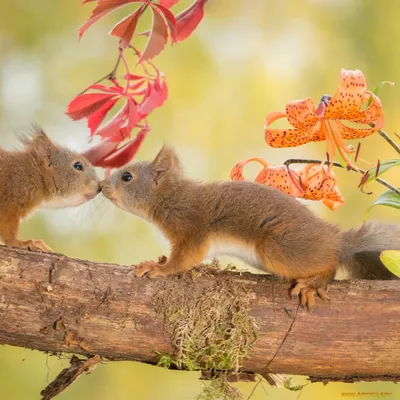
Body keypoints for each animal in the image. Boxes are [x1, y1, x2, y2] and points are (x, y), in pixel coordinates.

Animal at [100, 147, 400, 310]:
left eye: (126, 176)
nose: (101, 187)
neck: (170, 197)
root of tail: (335, 239)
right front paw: (160, 259)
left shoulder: (191, 228)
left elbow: (183, 260)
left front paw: (158, 268)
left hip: (279, 248)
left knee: (330, 263)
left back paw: (314, 282)